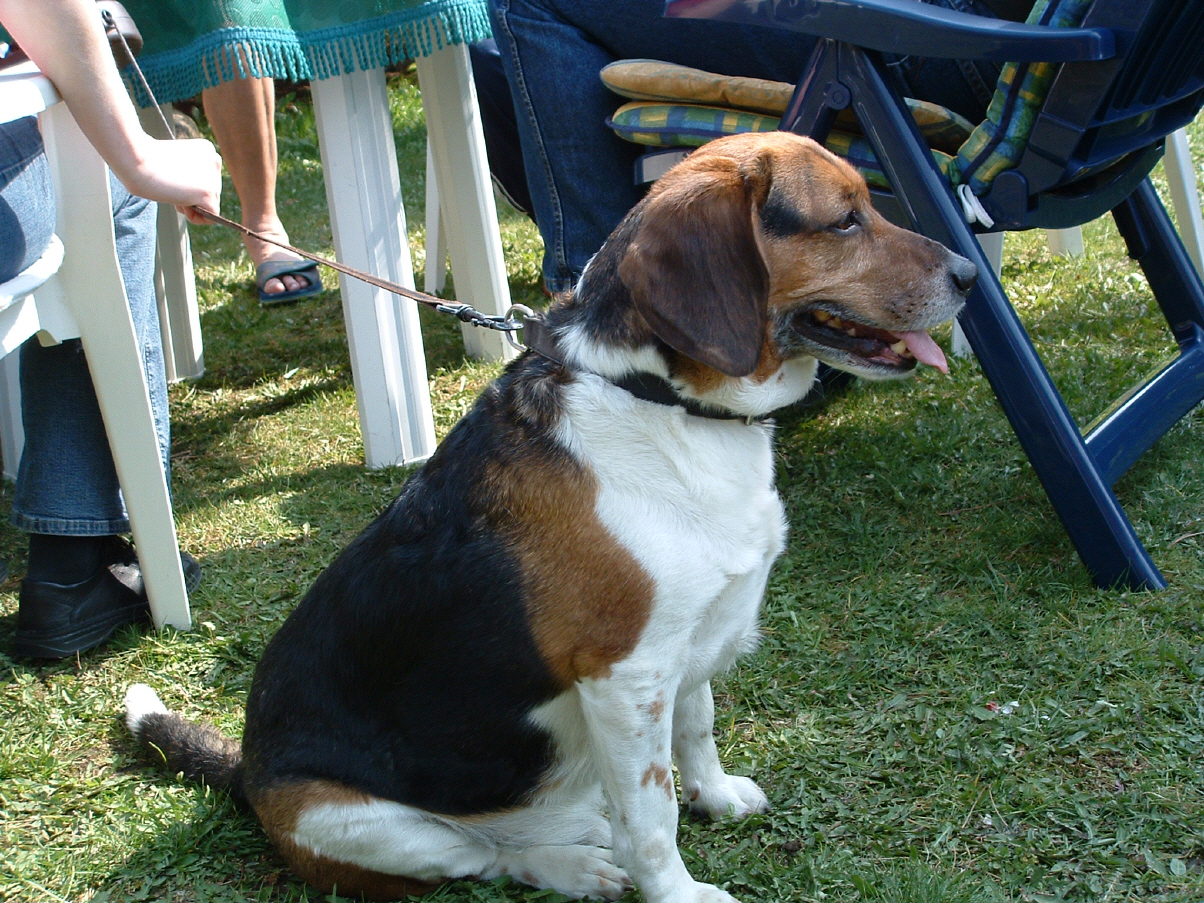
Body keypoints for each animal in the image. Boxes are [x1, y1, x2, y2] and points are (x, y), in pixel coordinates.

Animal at [125, 131, 975, 903]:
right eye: (844, 221)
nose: (970, 273)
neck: (663, 400)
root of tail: (246, 773)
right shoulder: (626, 677)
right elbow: (654, 816)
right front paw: (678, 891)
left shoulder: (688, 643)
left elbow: (696, 729)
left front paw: (717, 793)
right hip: (359, 822)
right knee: (487, 855)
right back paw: (575, 864)